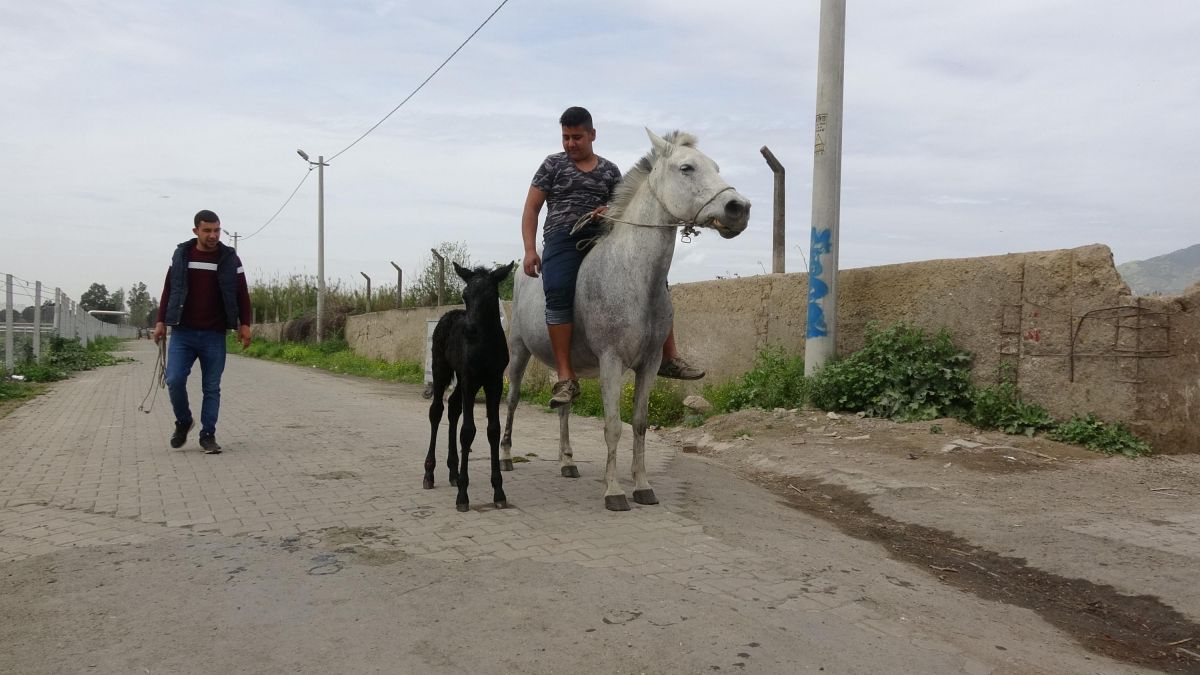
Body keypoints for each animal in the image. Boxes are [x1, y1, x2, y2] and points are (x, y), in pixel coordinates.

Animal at [504, 128, 748, 509]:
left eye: (716, 167)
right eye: (687, 168)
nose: (739, 208)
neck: (631, 274)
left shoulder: (649, 364)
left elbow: (639, 424)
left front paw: (643, 486)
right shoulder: (611, 361)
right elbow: (613, 426)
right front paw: (614, 491)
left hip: (563, 366)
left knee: (563, 407)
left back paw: (567, 462)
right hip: (519, 353)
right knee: (513, 400)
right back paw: (504, 458)